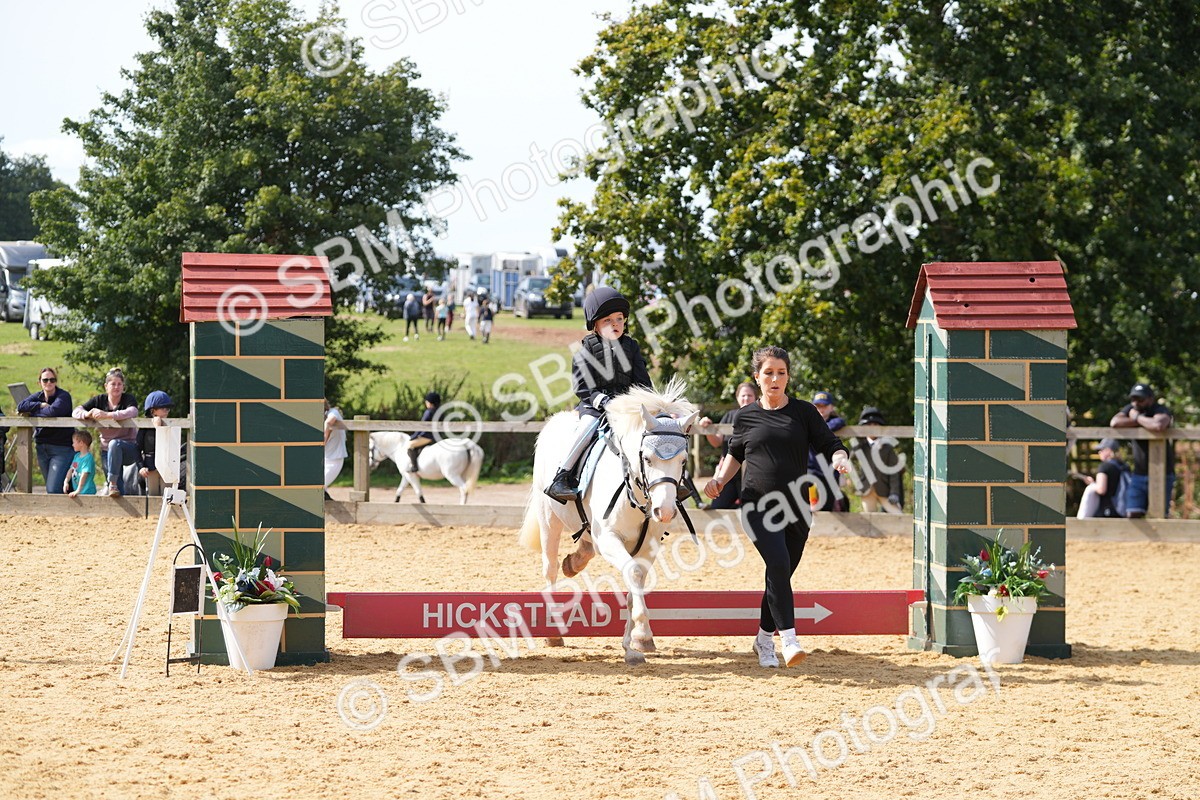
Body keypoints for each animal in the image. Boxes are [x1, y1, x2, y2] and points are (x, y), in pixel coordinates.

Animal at [518, 379, 699, 664]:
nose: (666, 511)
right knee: (550, 569)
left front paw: (637, 642)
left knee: (584, 546)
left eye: (683, 460)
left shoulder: (648, 545)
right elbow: (632, 574)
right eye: (647, 458)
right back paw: (554, 633)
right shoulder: (610, 539)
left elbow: (635, 582)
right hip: (550, 522)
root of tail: (555, 421)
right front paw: (640, 633)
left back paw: (574, 562)